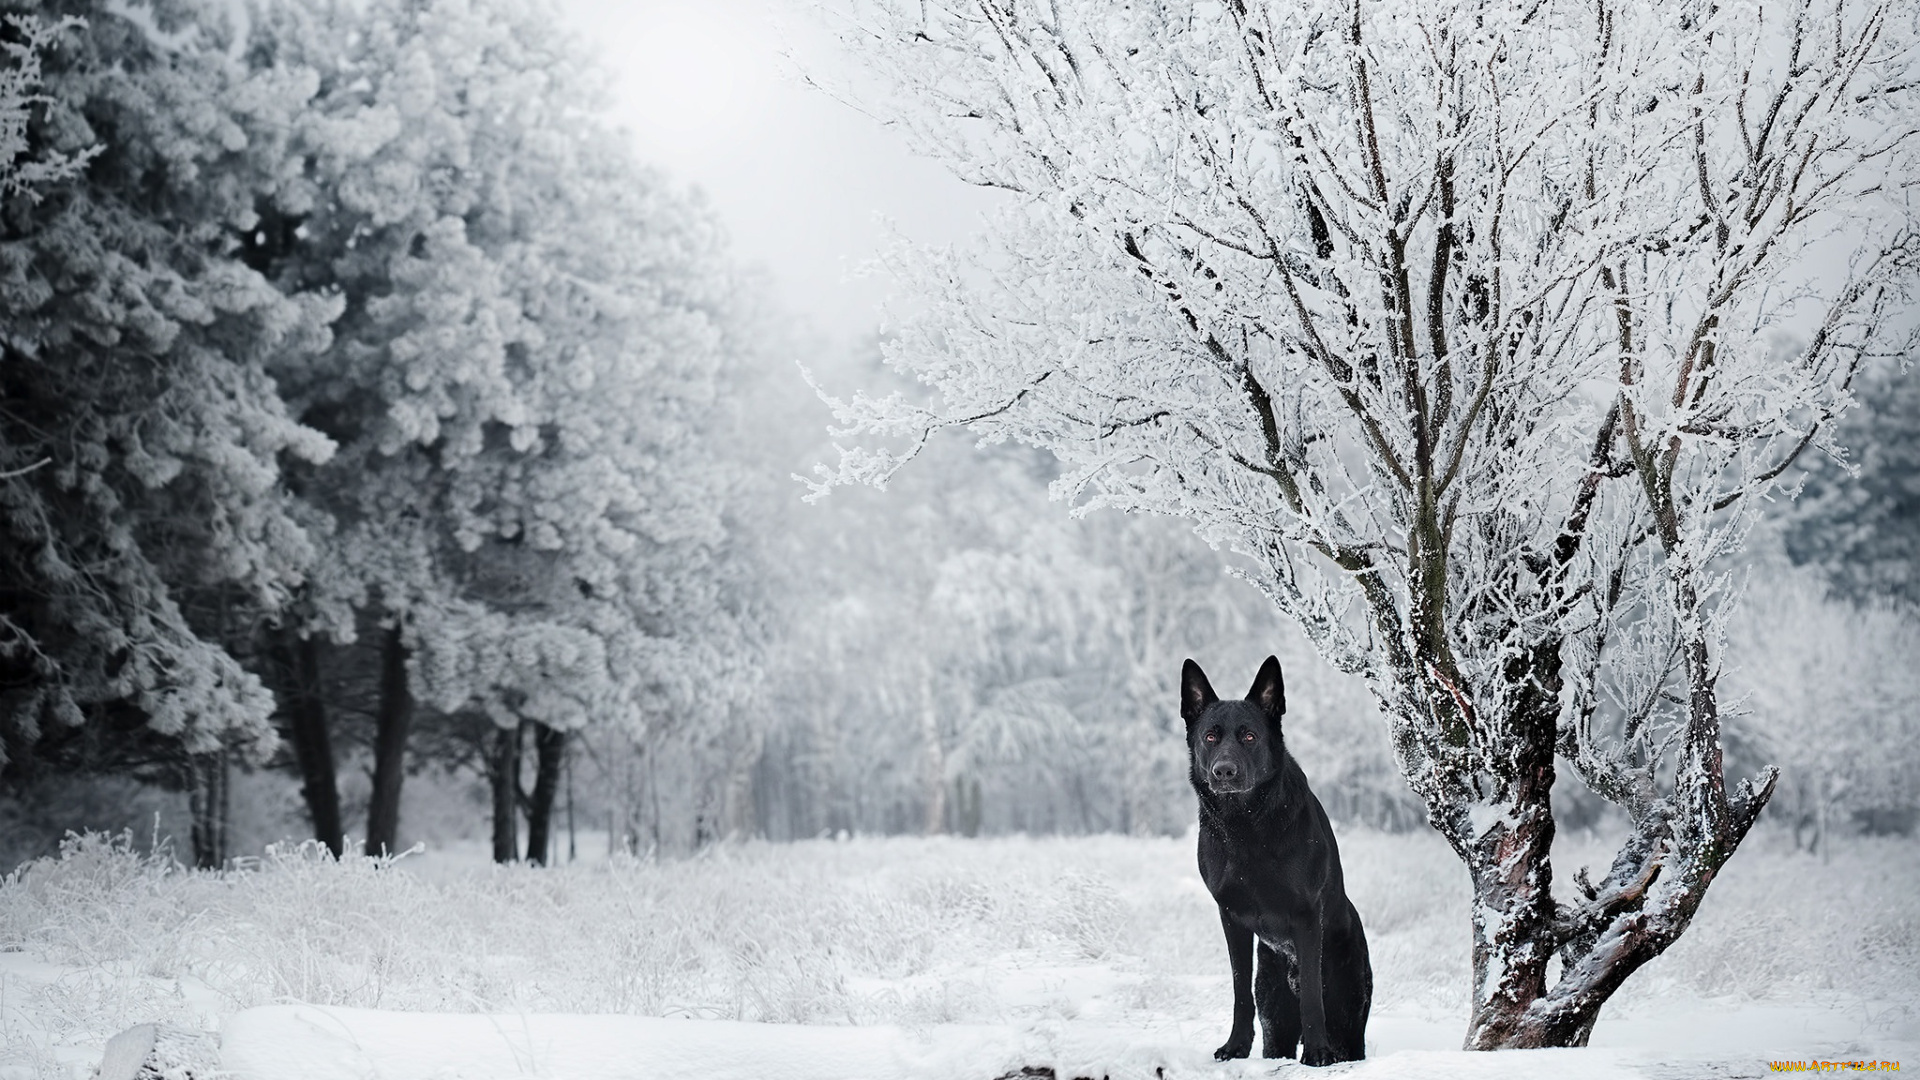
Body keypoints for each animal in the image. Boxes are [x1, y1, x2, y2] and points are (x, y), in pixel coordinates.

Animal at [1175, 653, 1374, 1060]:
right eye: (1210, 737)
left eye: (1249, 736)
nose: (1224, 771)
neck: (1245, 826)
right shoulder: (1231, 917)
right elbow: (1239, 991)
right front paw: (1236, 1045)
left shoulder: (1306, 915)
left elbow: (1312, 995)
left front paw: (1317, 1053)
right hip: (1274, 1018)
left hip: (1349, 1020)